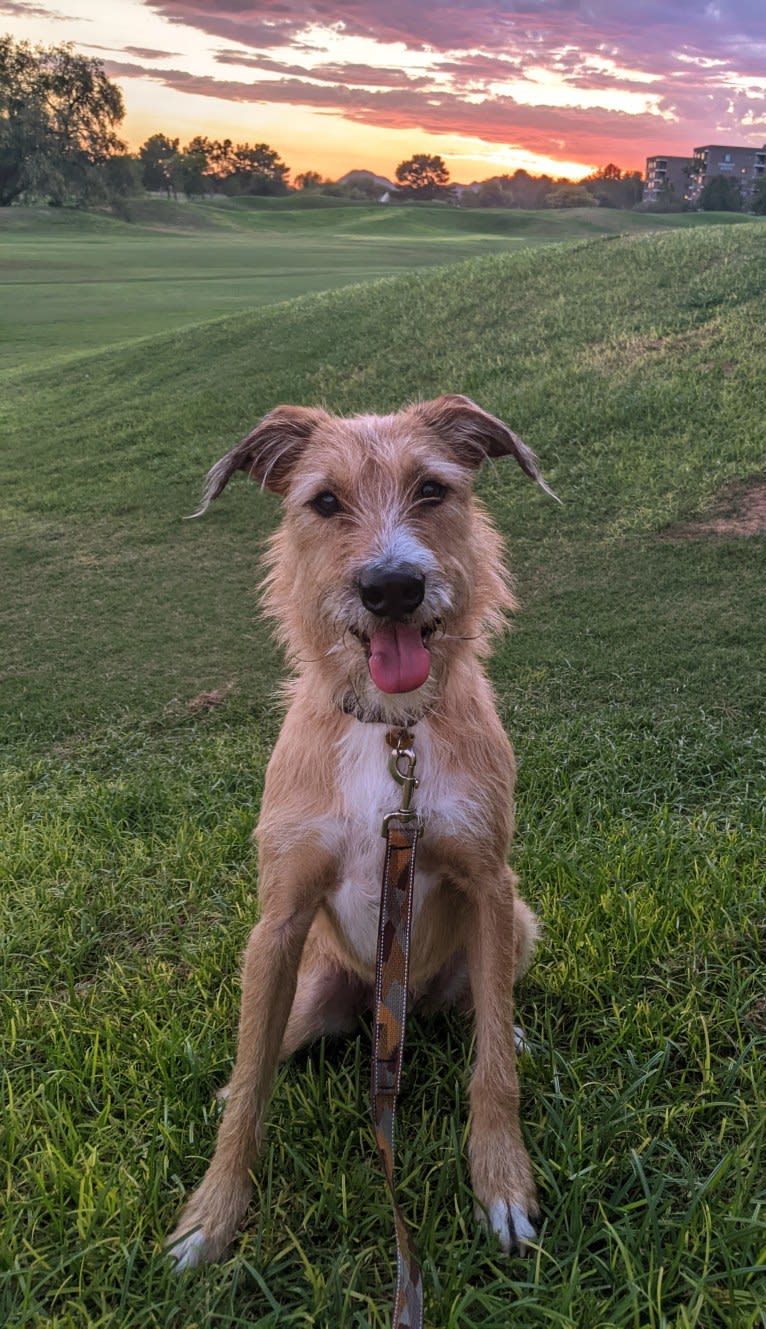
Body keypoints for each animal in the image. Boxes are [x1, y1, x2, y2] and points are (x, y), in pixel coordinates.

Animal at [166, 390, 555, 1265]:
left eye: (433, 489)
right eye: (324, 502)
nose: (393, 587)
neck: (391, 731)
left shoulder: (490, 883)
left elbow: (492, 1076)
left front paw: (502, 1182)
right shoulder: (278, 920)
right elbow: (251, 1086)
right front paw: (213, 1213)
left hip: (513, 925)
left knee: (486, 1013)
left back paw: (508, 1030)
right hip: (314, 985)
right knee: (270, 1048)